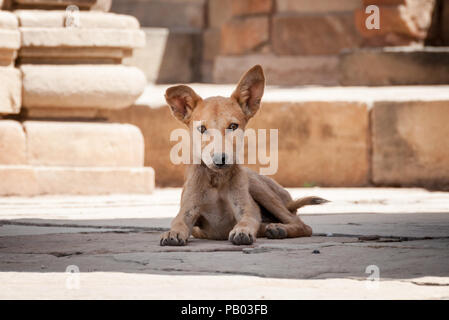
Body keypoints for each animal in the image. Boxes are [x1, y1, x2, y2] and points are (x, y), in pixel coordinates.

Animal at [159, 63, 328, 246]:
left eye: (233, 126)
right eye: (202, 129)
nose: (219, 159)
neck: (217, 179)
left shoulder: (247, 208)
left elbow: (248, 220)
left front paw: (242, 231)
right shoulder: (187, 210)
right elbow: (178, 222)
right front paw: (173, 233)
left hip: (259, 188)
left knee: (302, 225)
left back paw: (279, 229)